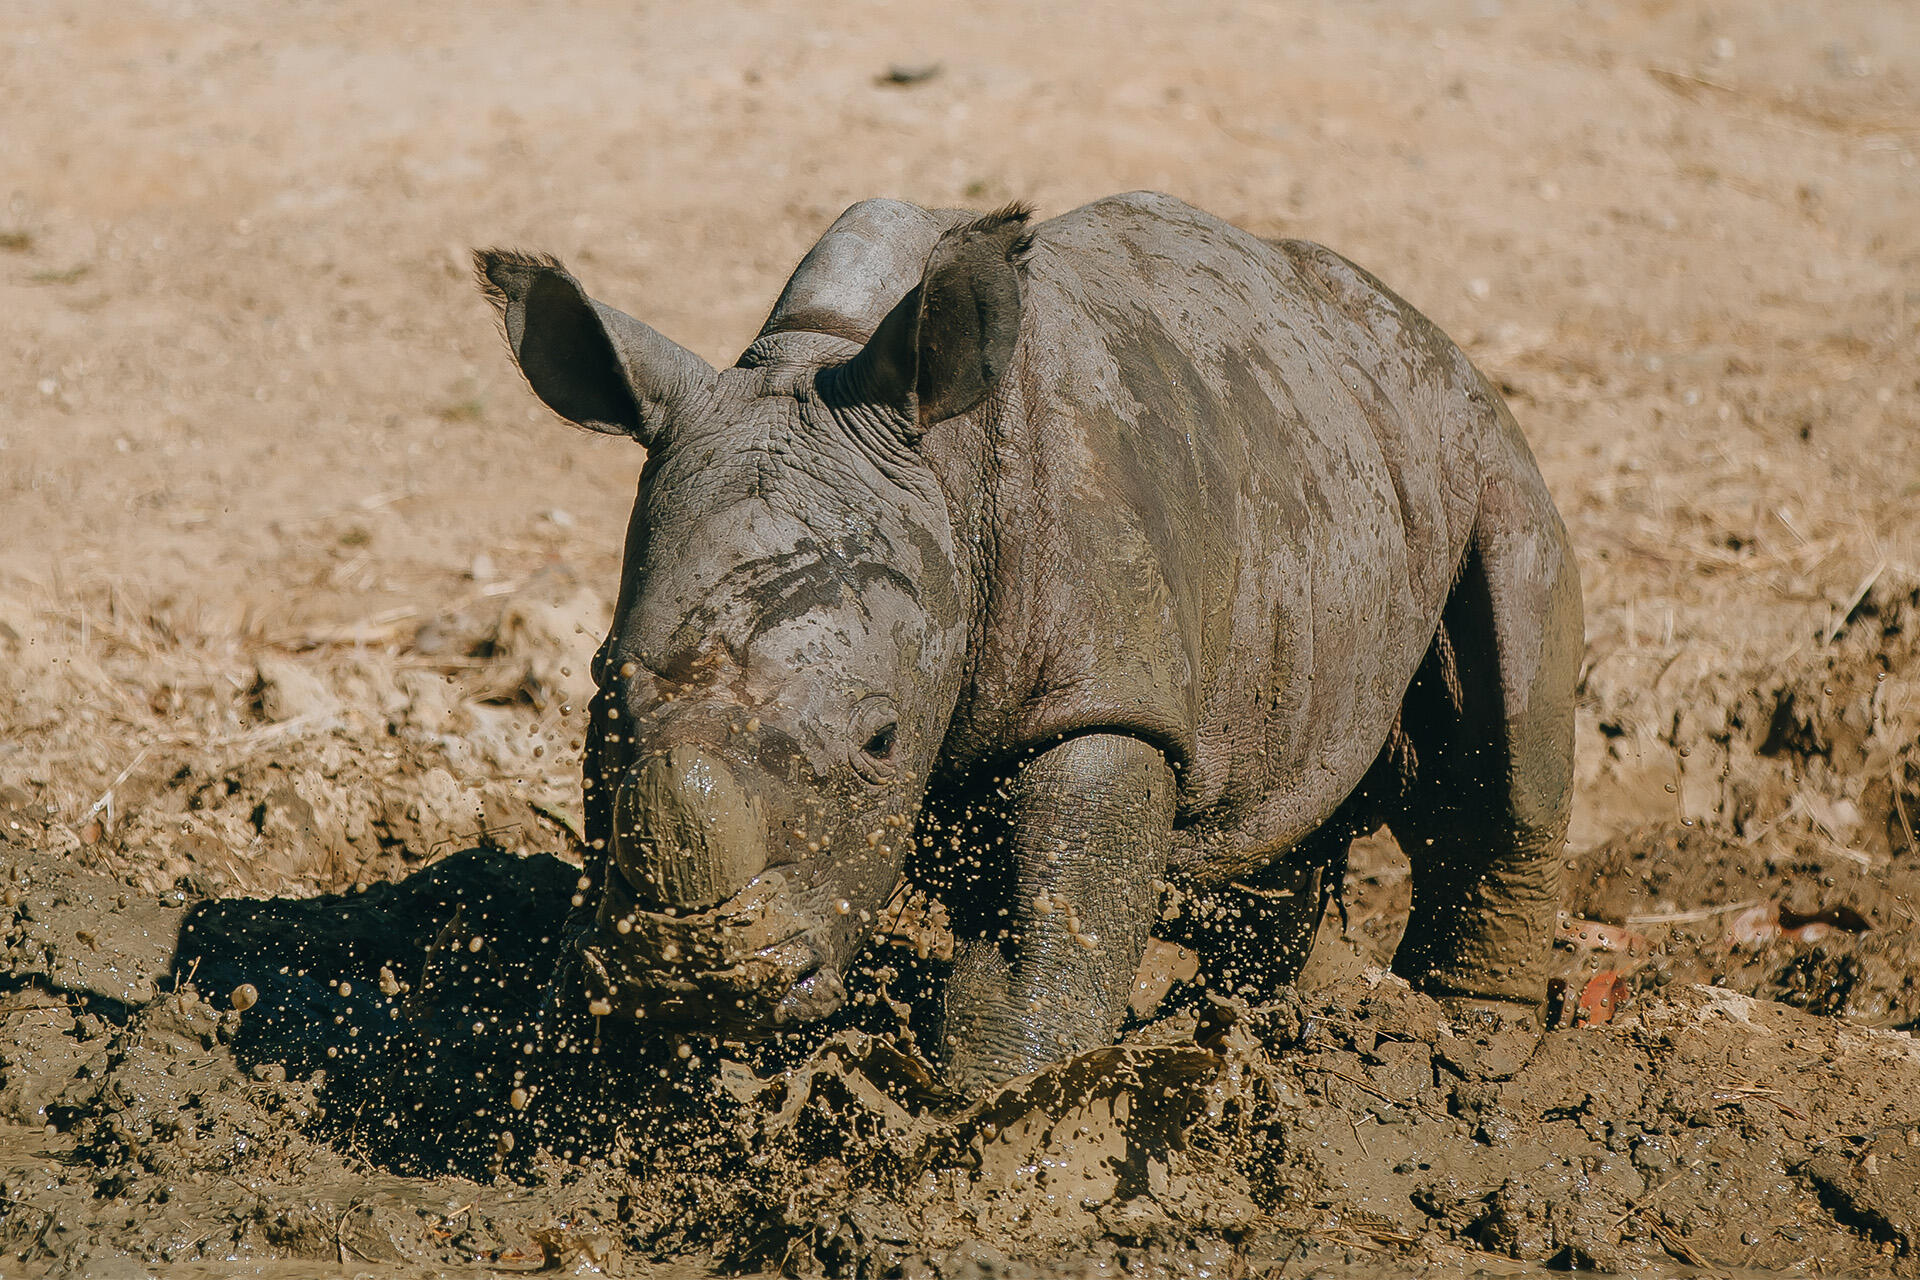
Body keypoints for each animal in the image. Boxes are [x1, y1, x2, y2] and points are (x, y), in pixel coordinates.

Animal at [476, 192, 1574, 1090]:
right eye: (601, 697)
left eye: (882, 741)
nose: (698, 975)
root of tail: (1414, 324)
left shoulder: (1101, 696)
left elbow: (1035, 948)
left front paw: (993, 1134)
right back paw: (1267, 1016)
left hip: (1467, 427)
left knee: (1507, 713)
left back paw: (1457, 1051)